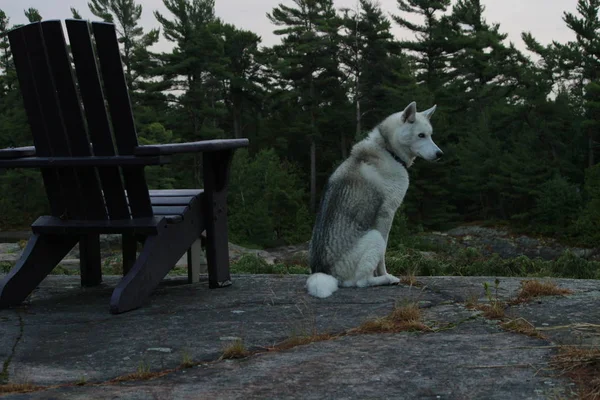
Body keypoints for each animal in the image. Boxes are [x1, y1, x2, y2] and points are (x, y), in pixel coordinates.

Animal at [310, 101, 440, 298]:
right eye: (421, 135)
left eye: (430, 135)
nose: (440, 154)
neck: (388, 149)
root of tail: (324, 272)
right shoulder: (386, 216)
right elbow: (383, 257)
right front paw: (383, 273)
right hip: (374, 236)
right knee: (362, 282)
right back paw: (385, 279)